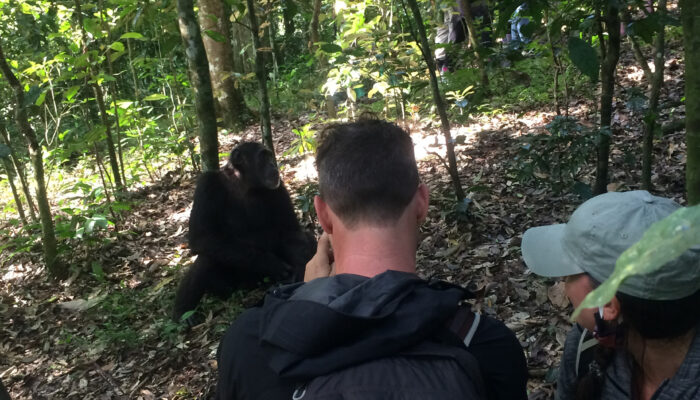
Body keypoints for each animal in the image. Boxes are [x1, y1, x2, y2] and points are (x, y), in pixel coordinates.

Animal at [174, 142, 316, 324]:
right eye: (263, 157)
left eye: (269, 156)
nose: (273, 164)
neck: (242, 183)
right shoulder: (206, 185)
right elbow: (202, 237)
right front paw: (271, 262)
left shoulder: (279, 187)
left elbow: (291, 230)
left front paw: (299, 269)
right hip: (226, 286)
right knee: (206, 258)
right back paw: (183, 312)